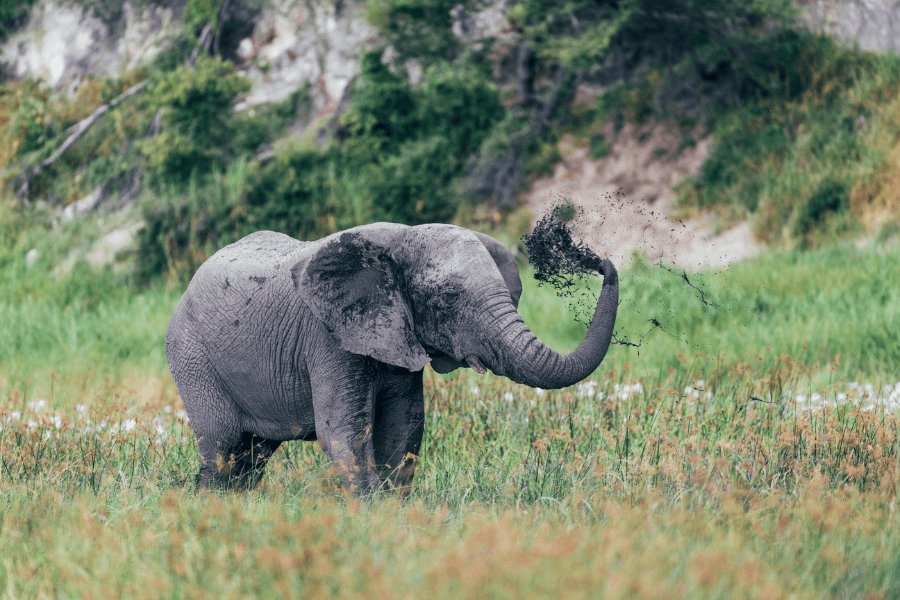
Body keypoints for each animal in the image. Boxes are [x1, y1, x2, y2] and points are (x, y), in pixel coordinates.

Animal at [165, 223, 618, 495]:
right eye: (448, 298)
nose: (599, 261)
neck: (403, 238)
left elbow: (404, 427)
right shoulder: (327, 336)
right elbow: (344, 432)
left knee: (253, 455)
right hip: (190, 354)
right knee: (222, 444)